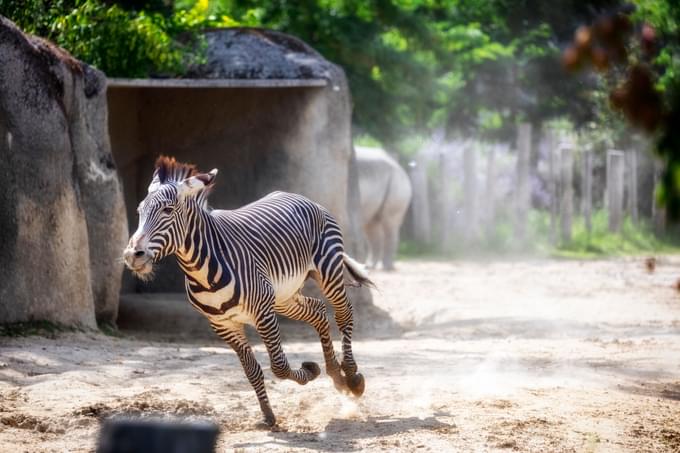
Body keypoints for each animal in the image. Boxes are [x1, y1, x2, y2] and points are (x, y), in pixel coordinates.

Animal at [119, 157, 370, 426]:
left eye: (167, 210)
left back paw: (351, 376)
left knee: (344, 314)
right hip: (283, 296)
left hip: (327, 271)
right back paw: (336, 375)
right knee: (318, 310)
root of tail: (298, 196)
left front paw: (310, 371)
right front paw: (268, 415)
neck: (202, 271)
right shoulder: (222, 324)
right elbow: (251, 370)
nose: (132, 255)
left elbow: (278, 366)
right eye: (139, 212)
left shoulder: (262, 312)